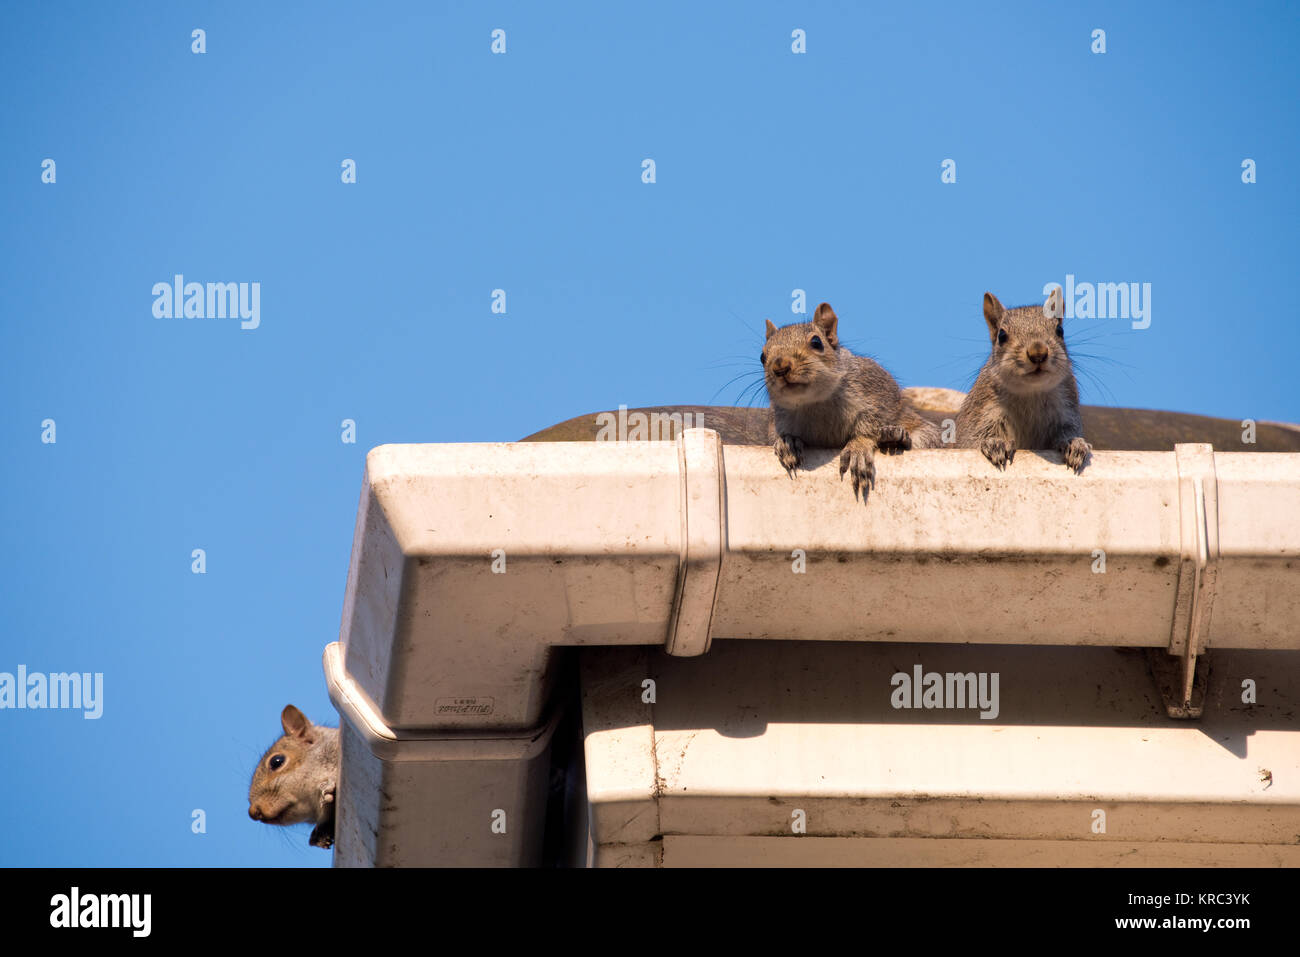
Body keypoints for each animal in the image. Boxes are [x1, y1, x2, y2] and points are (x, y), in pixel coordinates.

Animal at [763, 301, 940, 499]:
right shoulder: (780, 418)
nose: (780, 367)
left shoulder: (877, 391)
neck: (815, 401)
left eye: (816, 342)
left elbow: (872, 423)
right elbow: (777, 435)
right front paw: (788, 441)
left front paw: (859, 448)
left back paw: (894, 438)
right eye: (762, 357)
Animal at [955, 288, 1091, 473]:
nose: (1038, 353)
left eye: (1059, 330)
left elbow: (1068, 432)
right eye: (1001, 335)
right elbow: (972, 440)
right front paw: (994, 443)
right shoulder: (981, 411)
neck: (1030, 392)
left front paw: (1075, 444)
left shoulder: (1067, 409)